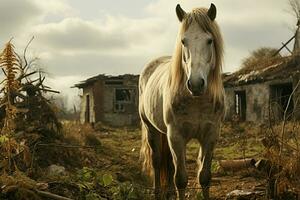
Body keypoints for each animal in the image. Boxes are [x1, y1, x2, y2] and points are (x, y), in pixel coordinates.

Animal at [139, 3, 224, 200]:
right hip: (151, 129)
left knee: (169, 163)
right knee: (157, 161)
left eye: (209, 40)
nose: (196, 84)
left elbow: (204, 177)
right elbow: (181, 179)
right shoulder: (176, 136)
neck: (197, 101)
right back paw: (157, 192)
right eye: (184, 41)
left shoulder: (210, 135)